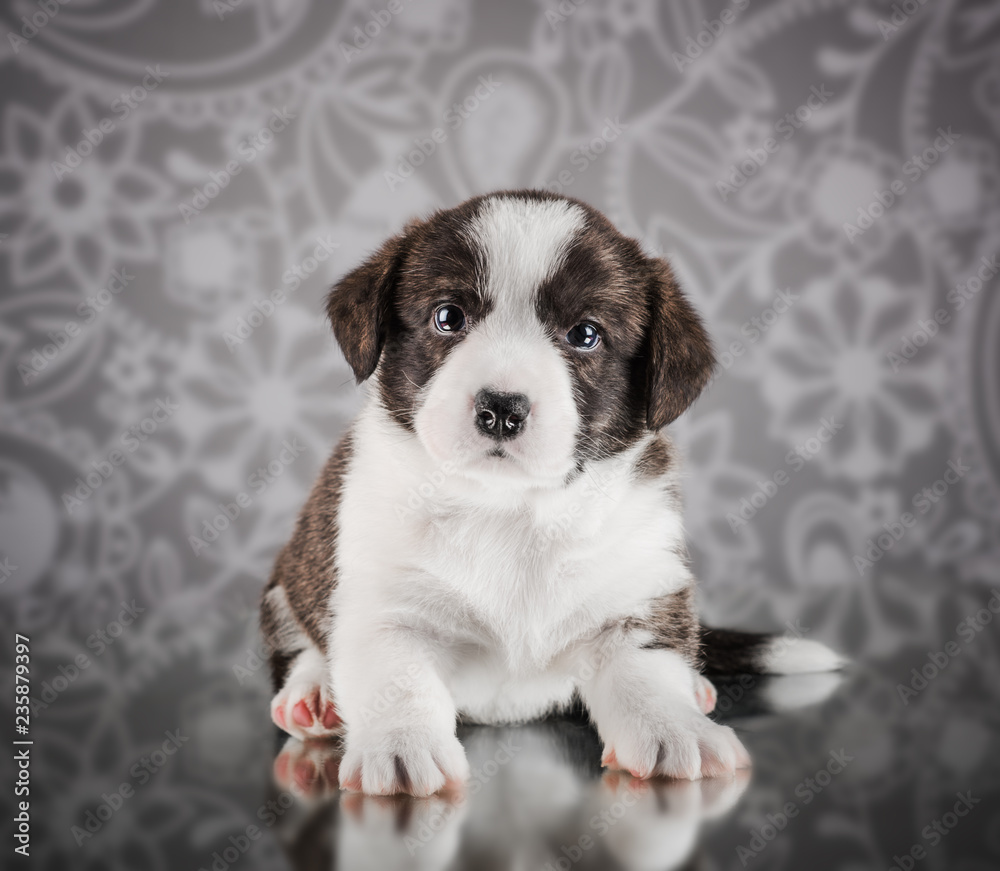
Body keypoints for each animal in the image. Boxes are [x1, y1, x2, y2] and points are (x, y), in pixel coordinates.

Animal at [260, 189, 844, 796]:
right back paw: (314, 696)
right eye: (448, 317)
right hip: (287, 580)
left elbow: (649, 676)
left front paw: (676, 729)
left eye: (585, 334)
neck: (512, 509)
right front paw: (401, 746)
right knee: (297, 643)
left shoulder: (636, 600)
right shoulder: (385, 608)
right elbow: (398, 681)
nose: (500, 409)